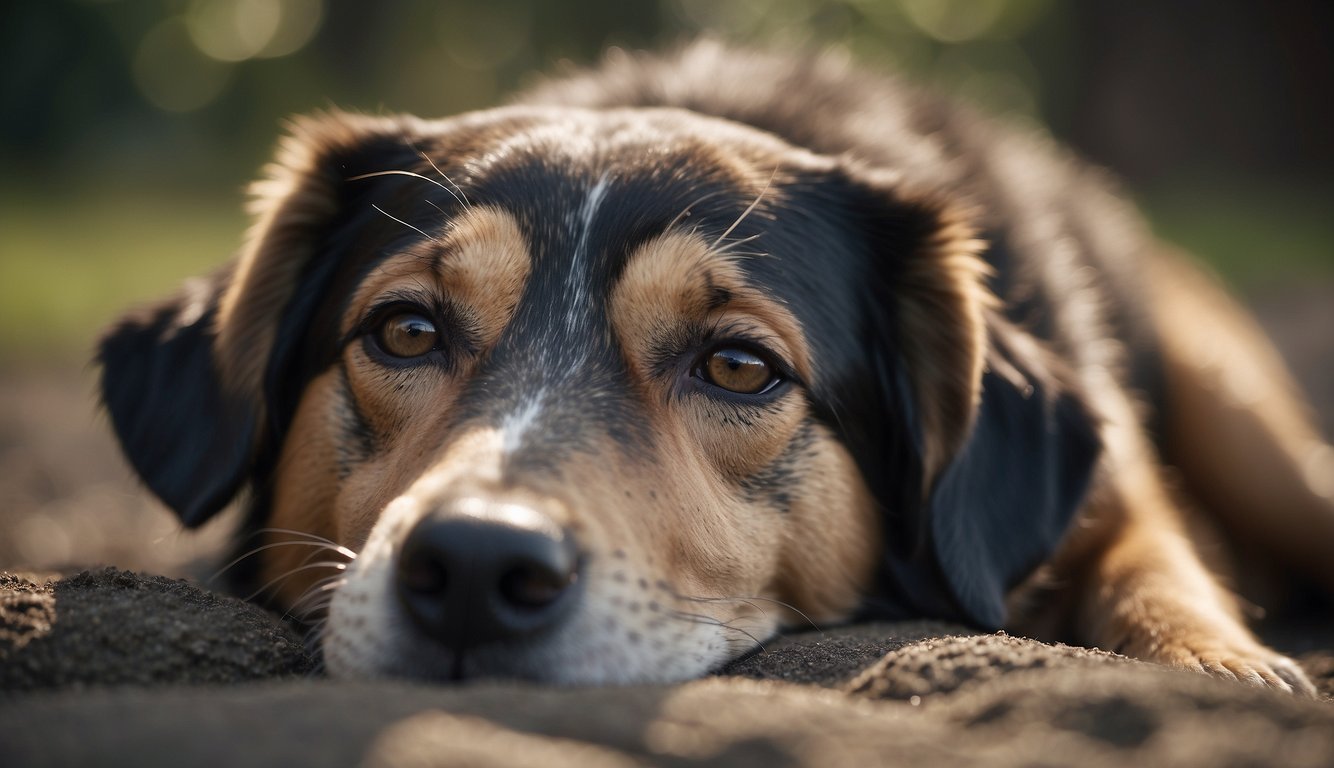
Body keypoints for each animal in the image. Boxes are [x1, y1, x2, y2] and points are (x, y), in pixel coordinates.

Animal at [101, 42, 1334, 688]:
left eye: (739, 367)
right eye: (405, 332)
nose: (474, 566)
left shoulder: (1118, 497)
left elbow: (1156, 570)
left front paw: (1220, 667)